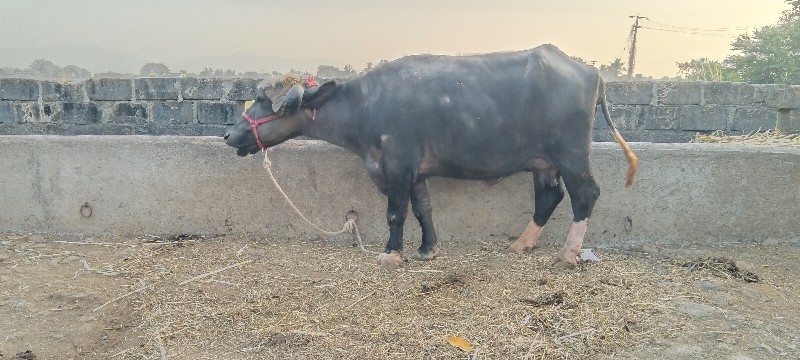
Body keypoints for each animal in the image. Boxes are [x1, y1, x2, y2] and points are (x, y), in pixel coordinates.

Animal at [223, 44, 636, 270]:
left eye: (261, 101)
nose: (229, 135)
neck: (364, 106)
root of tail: (591, 74)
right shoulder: (417, 173)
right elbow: (423, 208)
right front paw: (427, 249)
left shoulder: (396, 165)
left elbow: (396, 212)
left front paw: (391, 255)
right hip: (543, 162)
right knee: (550, 195)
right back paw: (522, 244)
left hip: (571, 153)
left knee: (585, 194)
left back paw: (567, 254)